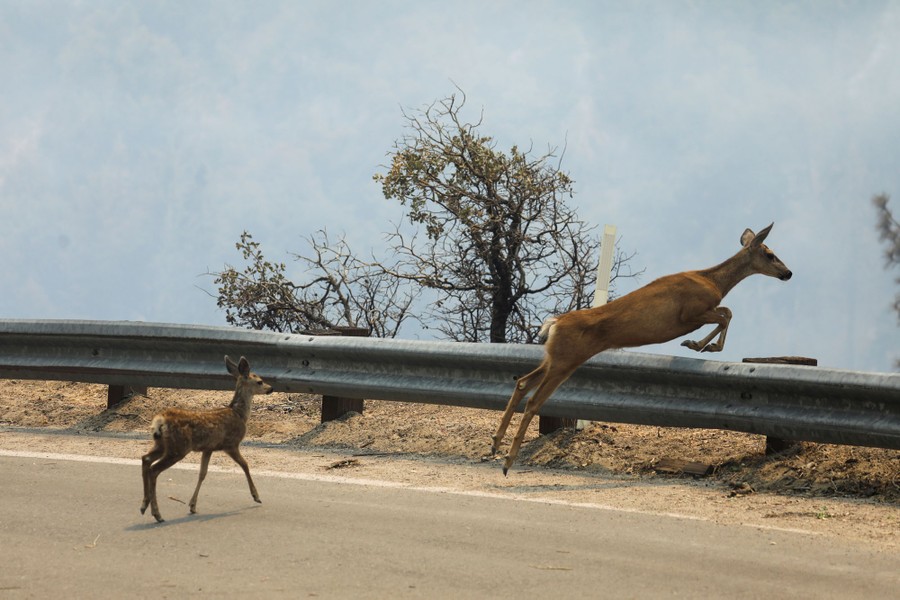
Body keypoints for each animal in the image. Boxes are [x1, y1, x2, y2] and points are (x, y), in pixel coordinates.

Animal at [140, 355, 273, 522]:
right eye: (260, 381)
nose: (270, 388)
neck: (239, 414)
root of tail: (160, 420)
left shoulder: (208, 448)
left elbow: (202, 473)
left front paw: (192, 505)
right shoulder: (231, 444)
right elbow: (245, 465)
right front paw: (256, 496)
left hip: (162, 444)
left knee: (145, 459)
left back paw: (144, 505)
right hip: (178, 448)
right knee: (154, 469)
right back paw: (157, 514)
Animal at [491, 223, 792, 475]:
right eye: (770, 254)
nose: (788, 273)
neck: (715, 281)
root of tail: (554, 324)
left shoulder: (700, 312)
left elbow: (726, 312)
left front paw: (698, 345)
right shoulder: (690, 313)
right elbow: (726, 314)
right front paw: (701, 345)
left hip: (553, 358)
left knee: (521, 383)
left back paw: (495, 444)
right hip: (565, 360)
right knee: (534, 400)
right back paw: (507, 462)